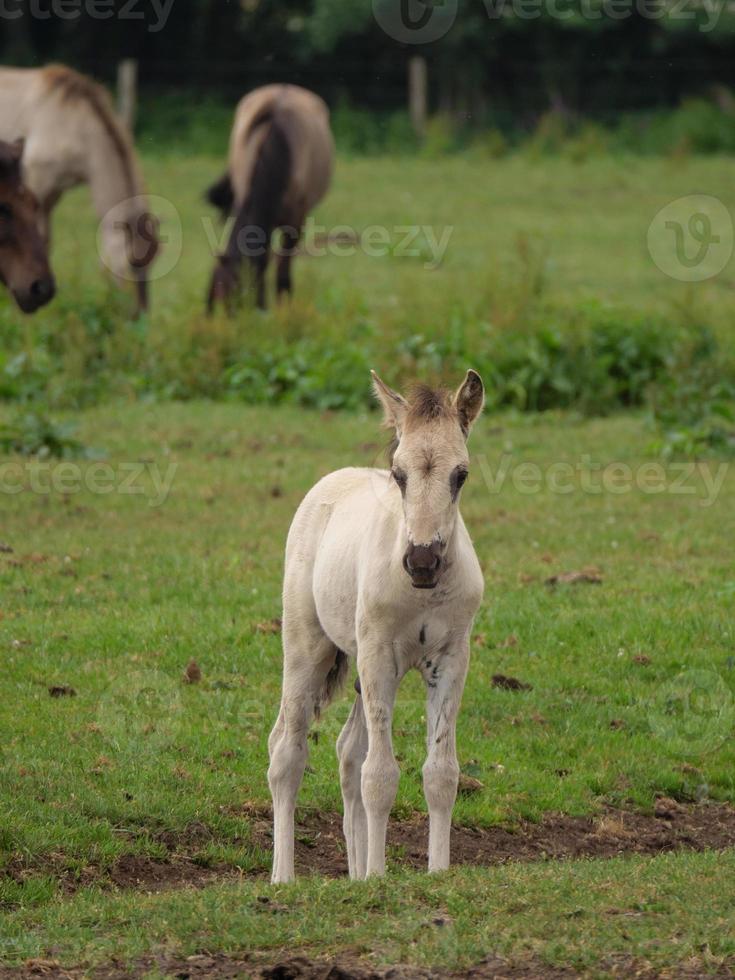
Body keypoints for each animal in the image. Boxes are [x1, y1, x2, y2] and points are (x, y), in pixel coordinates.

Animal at [206, 87, 334, 312]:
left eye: (237, 297)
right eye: (222, 295)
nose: (233, 319)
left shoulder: (295, 221)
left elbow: (282, 267)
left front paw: (283, 308)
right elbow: (263, 257)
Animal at [268, 370, 486, 880]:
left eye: (461, 475)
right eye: (398, 473)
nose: (422, 561)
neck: (422, 592)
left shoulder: (451, 659)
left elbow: (440, 772)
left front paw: (435, 874)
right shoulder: (378, 655)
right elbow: (381, 774)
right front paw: (379, 878)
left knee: (348, 751)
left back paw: (354, 871)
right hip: (307, 647)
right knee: (286, 749)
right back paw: (283, 877)